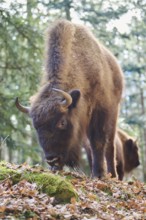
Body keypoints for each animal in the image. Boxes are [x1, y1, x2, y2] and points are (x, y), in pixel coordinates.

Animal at [15, 19, 124, 179]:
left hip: (113, 113)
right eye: (36, 126)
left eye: (62, 122)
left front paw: (98, 175)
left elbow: (98, 142)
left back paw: (112, 175)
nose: (52, 159)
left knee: (110, 145)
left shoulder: (100, 110)